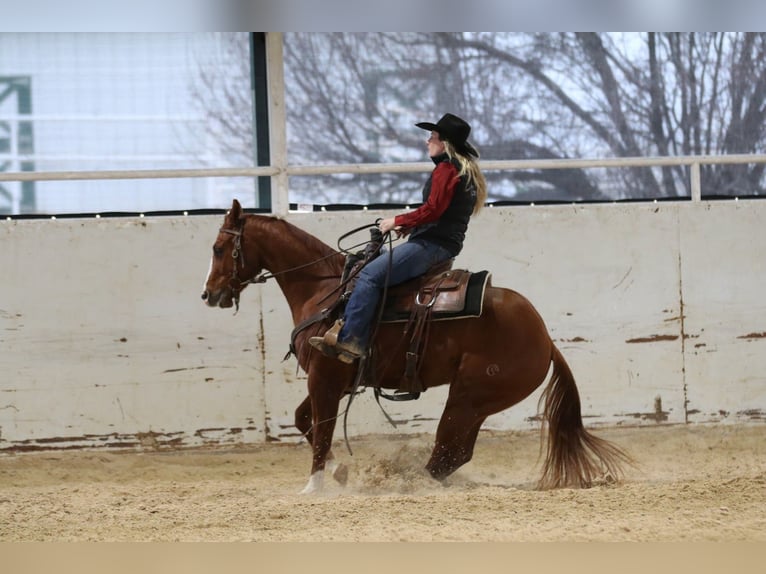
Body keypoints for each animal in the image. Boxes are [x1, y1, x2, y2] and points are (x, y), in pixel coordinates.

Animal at [201, 199, 632, 496]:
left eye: (219, 248)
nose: (209, 294)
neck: (326, 291)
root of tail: (545, 338)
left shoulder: (325, 379)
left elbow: (321, 430)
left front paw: (314, 486)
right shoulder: (332, 382)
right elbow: (304, 420)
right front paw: (339, 472)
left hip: (468, 396)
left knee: (448, 450)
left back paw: (410, 481)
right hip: (476, 403)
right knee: (455, 453)